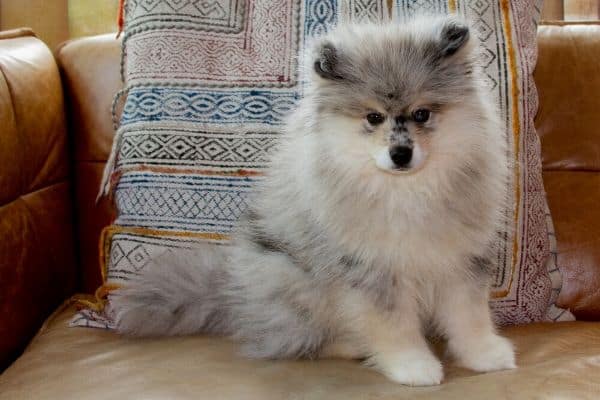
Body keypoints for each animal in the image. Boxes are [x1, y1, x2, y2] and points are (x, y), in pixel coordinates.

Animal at [111, 14, 516, 386]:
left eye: (421, 113)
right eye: (373, 117)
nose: (400, 153)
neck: (406, 190)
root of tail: (229, 292)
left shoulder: (461, 258)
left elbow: (468, 314)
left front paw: (484, 354)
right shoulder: (371, 269)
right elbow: (394, 324)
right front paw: (412, 366)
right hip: (292, 279)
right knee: (298, 339)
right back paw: (353, 346)